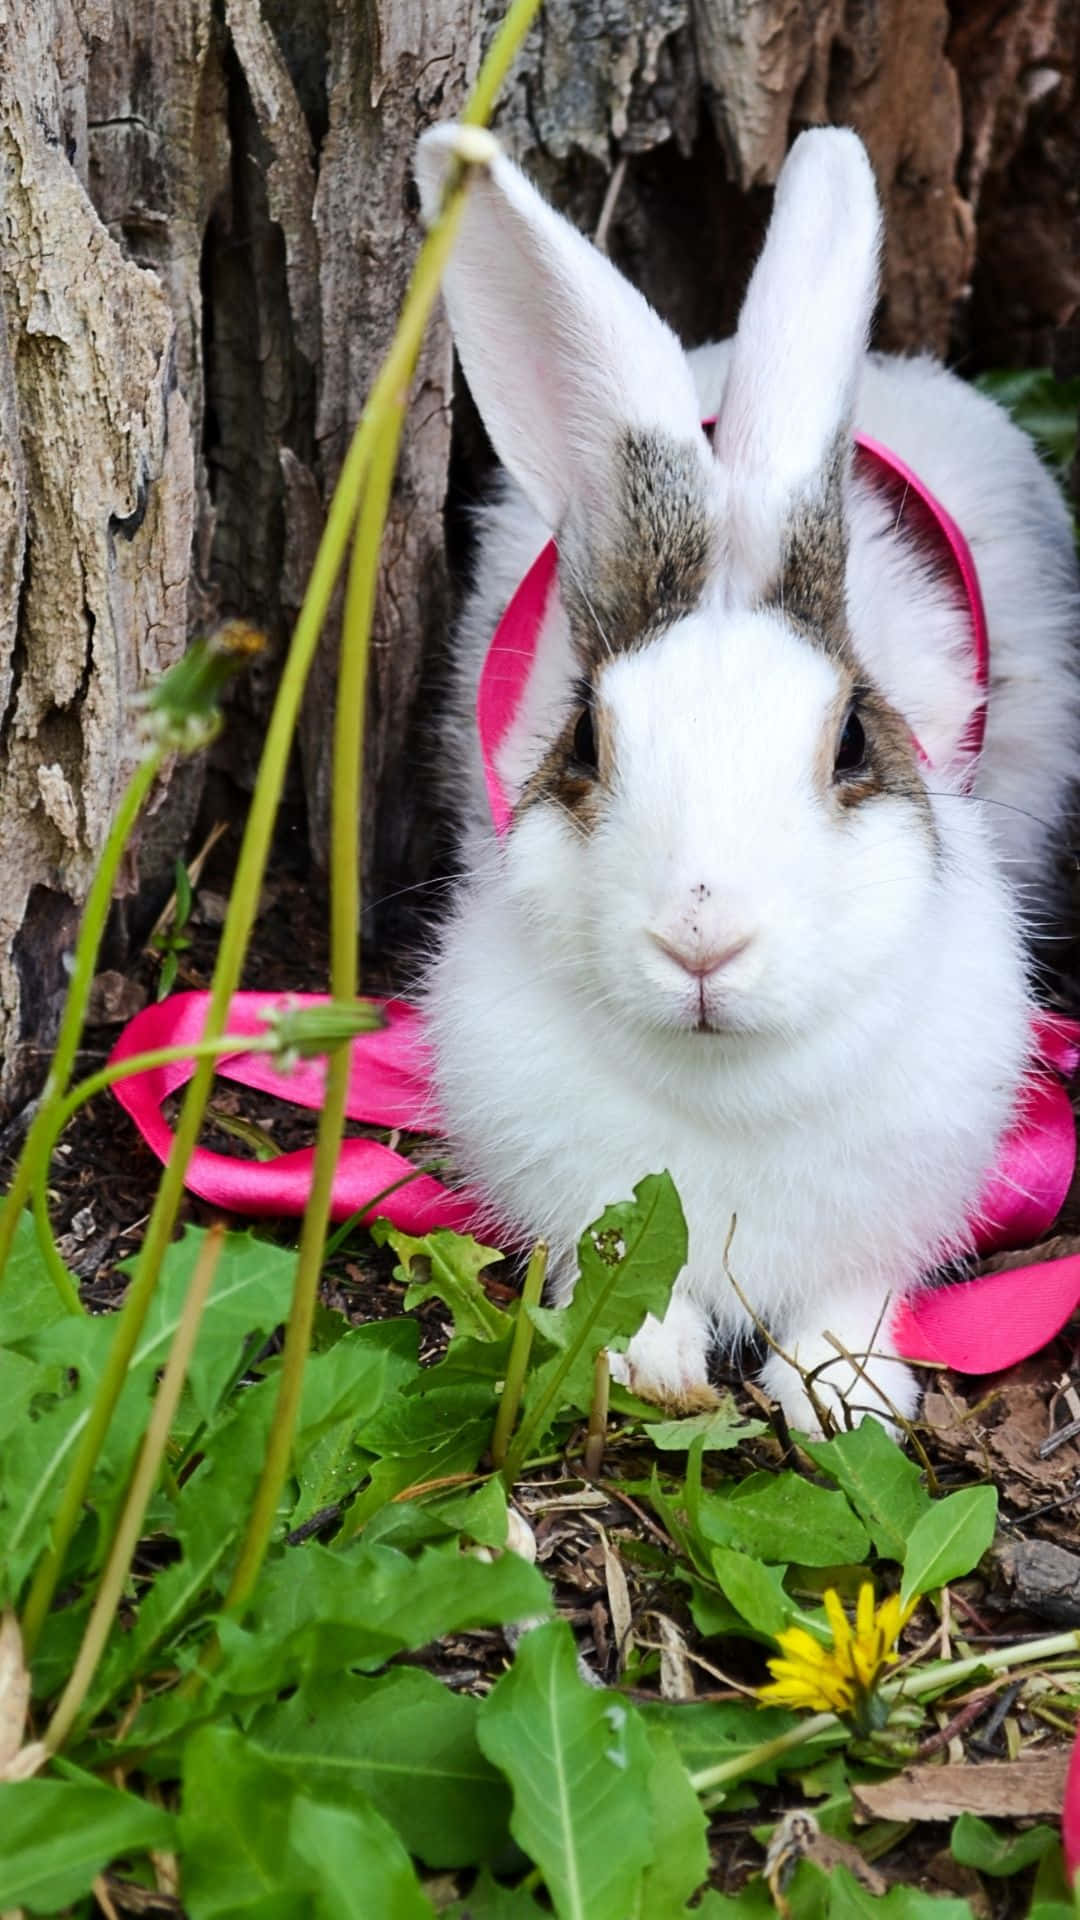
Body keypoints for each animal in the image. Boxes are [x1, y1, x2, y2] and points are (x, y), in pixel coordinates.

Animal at [413, 122, 1080, 1434]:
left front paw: (848, 1394)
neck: (725, 1084)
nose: (701, 940)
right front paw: (650, 1363)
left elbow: (850, 1298)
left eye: (852, 743)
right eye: (586, 743)